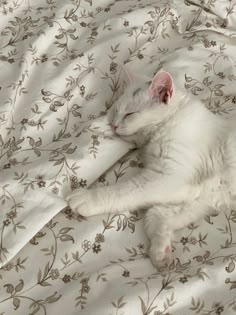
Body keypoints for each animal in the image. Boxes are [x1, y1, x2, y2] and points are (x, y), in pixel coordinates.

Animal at [66, 70, 236, 268]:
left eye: (130, 114)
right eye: (116, 111)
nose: (114, 125)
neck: (172, 118)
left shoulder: (166, 176)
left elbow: (122, 192)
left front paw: (85, 198)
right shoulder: (203, 195)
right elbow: (155, 215)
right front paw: (161, 251)